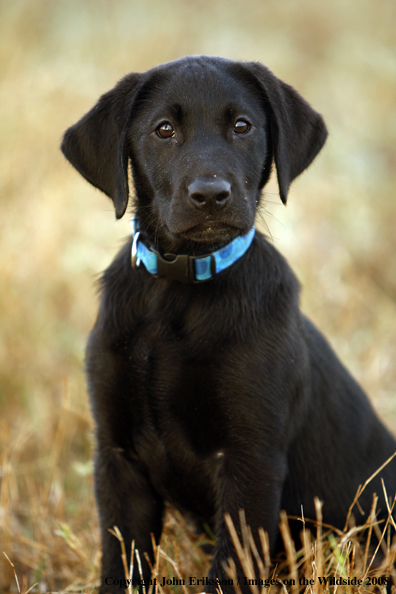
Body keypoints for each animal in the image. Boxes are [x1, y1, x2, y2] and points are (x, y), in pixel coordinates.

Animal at [62, 56, 396, 592]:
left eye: (243, 126)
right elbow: (121, 564)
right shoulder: (117, 456)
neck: (178, 289)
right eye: (163, 129)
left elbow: (230, 568)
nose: (211, 195)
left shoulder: (250, 460)